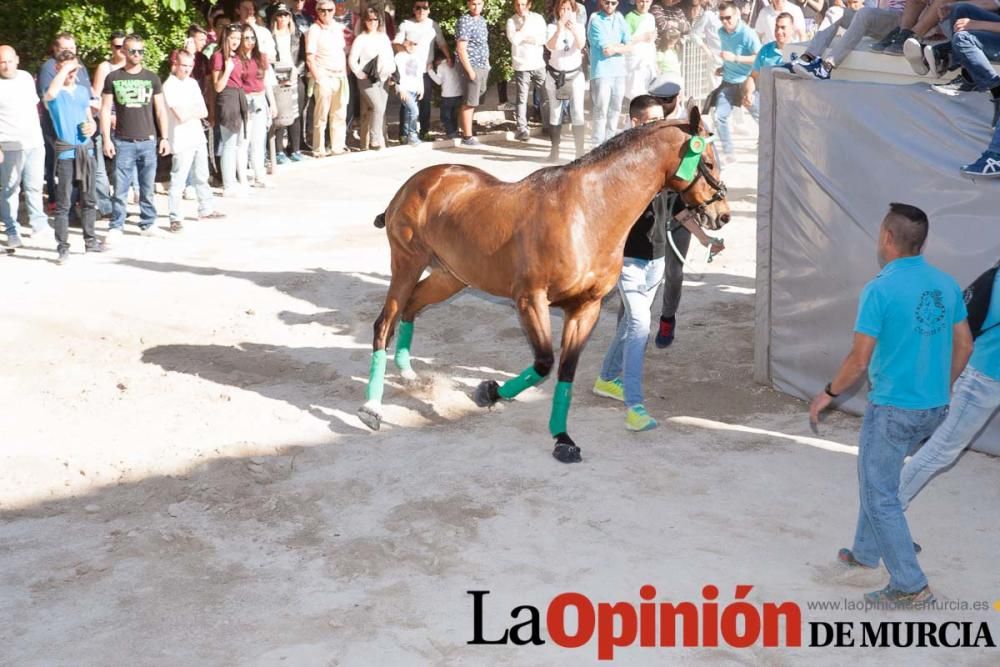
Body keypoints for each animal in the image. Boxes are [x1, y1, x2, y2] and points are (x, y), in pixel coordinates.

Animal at [358, 108, 728, 464]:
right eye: (708, 162)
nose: (722, 214)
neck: (587, 212)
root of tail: (421, 181)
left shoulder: (585, 308)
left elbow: (566, 370)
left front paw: (562, 439)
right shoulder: (530, 300)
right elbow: (544, 363)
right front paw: (489, 391)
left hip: (451, 276)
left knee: (412, 307)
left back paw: (407, 373)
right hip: (407, 264)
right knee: (385, 322)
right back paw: (371, 408)